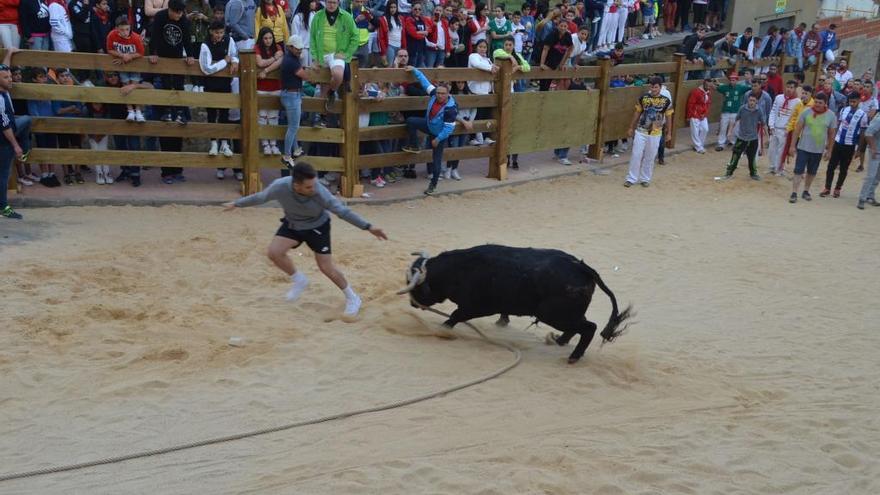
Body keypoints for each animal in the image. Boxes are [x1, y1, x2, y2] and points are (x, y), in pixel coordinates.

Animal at [398, 245, 632, 364]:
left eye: (416, 286)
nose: (412, 303)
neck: (457, 270)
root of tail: (582, 267)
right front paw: (502, 322)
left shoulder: (474, 307)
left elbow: (455, 316)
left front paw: (442, 330)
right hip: (567, 313)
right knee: (579, 326)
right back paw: (559, 341)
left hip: (553, 314)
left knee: (589, 327)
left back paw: (573, 356)